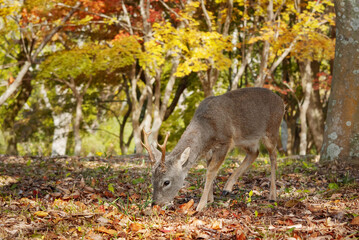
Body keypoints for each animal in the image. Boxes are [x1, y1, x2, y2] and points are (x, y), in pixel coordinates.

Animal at [142, 87, 286, 211]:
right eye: (152, 179)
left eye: (166, 182)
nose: (155, 203)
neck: (207, 127)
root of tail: (282, 102)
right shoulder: (209, 151)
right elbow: (209, 169)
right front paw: (210, 199)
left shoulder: (225, 141)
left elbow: (211, 172)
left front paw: (201, 205)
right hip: (246, 139)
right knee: (254, 153)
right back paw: (227, 188)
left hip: (272, 130)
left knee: (273, 157)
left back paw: (272, 196)